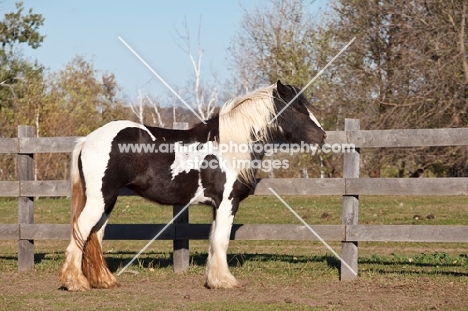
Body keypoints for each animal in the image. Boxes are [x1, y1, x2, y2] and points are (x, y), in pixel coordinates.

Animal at [57, 80, 326, 292]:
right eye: (297, 109)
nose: (322, 136)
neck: (228, 147)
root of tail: (88, 139)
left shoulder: (217, 206)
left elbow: (215, 240)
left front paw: (214, 279)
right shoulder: (227, 202)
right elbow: (222, 240)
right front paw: (225, 281)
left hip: (107, 201)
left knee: (95, 235)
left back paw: (104, 281)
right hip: (99, 199)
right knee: (81, 230)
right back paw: (74, 282)